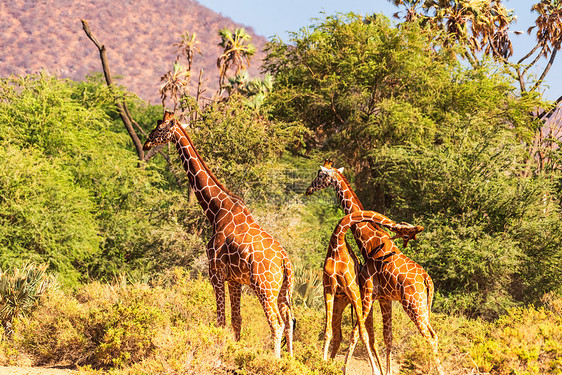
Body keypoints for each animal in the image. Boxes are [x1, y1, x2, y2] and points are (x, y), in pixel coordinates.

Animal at [143, 111, 294, 358]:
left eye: (160, 129)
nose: (146, 143)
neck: (215, 210)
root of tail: (285, 261)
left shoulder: (215, 273)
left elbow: (221, 320)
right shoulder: (234, 279)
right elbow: (237, 321)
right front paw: (233, 350)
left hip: (265, 287)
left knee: (277, 324)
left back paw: (275, 360)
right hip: (283, 290)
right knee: (290, 322)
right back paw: (290, 360)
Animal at [322, 212, 422, 375]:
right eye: (406, 233)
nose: (419, 228)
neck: (337, 244)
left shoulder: (353, 289)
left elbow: (362, 334)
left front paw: (374, 370)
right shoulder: (328, 288)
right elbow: (327, 331)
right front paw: (322, 363)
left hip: (360, 303)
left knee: (370, 337)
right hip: (340, 302)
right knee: (339, 336)